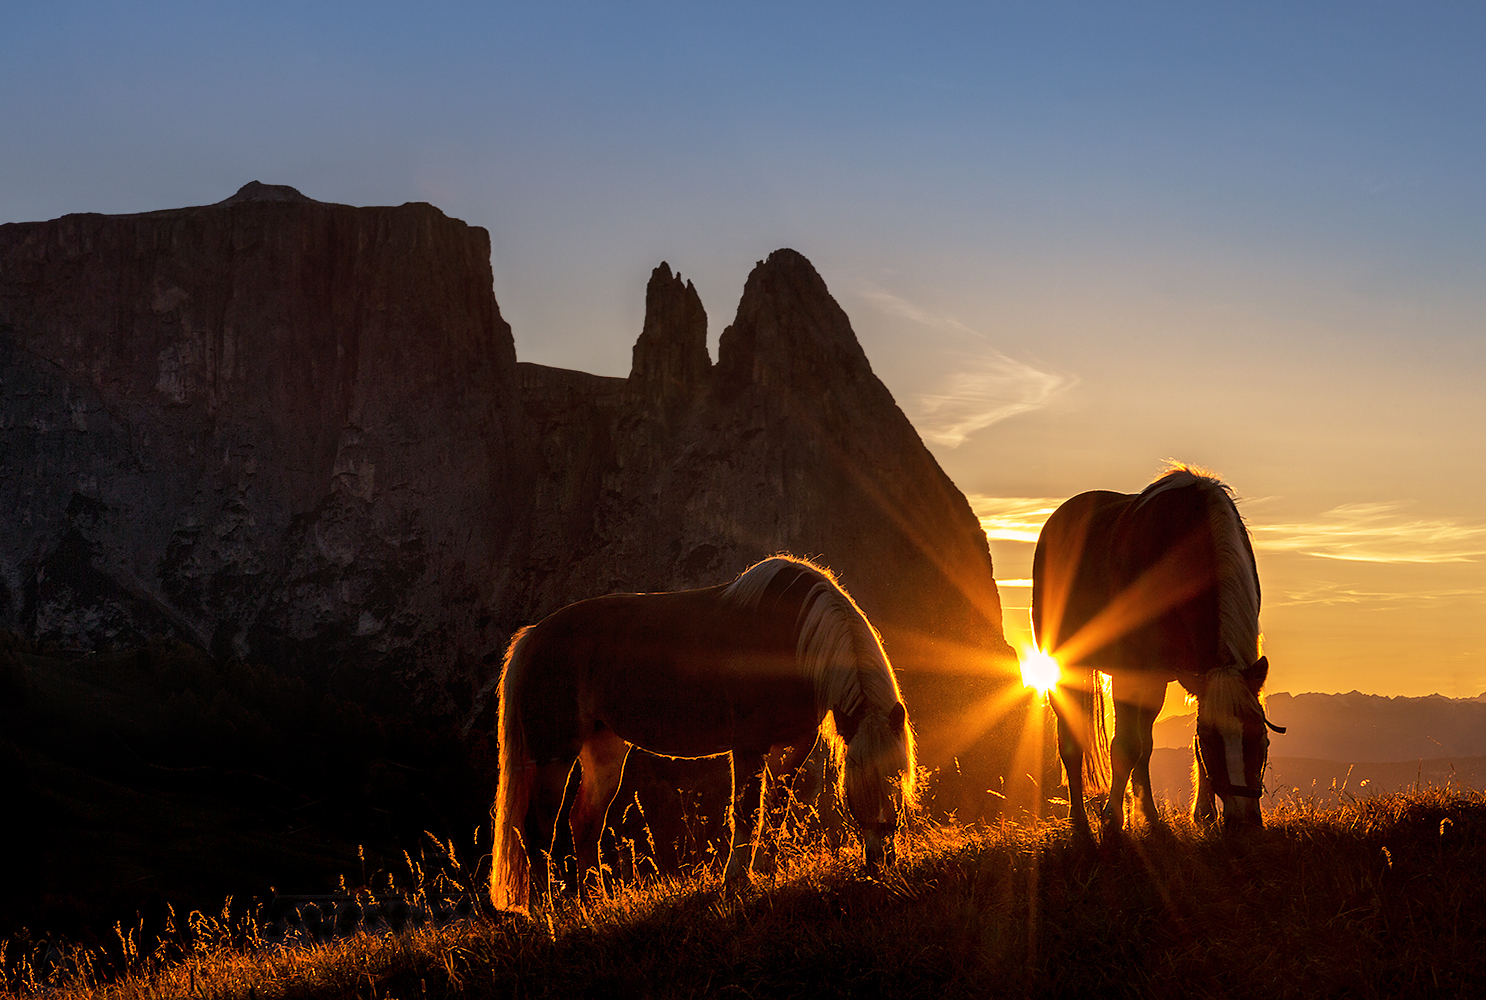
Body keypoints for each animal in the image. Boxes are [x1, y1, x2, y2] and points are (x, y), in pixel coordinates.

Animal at [487, 552, 915, 915]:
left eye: (896, 780)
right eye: (860, 788)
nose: (881, 863)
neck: (789, 636)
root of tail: (533, 636)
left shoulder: (794, 744)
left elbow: (775, 808)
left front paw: (769, 871)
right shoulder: (748, 745)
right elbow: (746, 813)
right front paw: (737, 881)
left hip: (604, 750)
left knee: (585, 821)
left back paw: (594, 902)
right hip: (553, 753)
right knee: (538, 827)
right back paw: (547, 909)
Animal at [1034, 463, 1289, 838]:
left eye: (1261, 738)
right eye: (1211, 741)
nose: (1244, 825)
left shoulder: (1180, 674)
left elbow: (1147, 747)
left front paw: (1199, 815)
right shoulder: (1131, 670)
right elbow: (1125, 747)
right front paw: (1112, 821)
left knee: (1144, 745)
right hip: (1065, 664)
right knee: (1072, 745)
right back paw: (1080, 823)